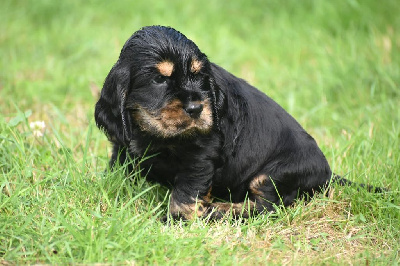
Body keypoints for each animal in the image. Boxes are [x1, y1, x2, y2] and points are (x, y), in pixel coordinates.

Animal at [95, 25, 376, 220]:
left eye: (199, 77)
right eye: (159, 80)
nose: (197, 108)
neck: (152, 132)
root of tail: (327, 174)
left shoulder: (201, 155)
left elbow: (185, 194)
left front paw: (176, 220)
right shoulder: (124, 143)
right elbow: (119, 168)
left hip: (272, 174)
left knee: (267, 207)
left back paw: (220, 210)